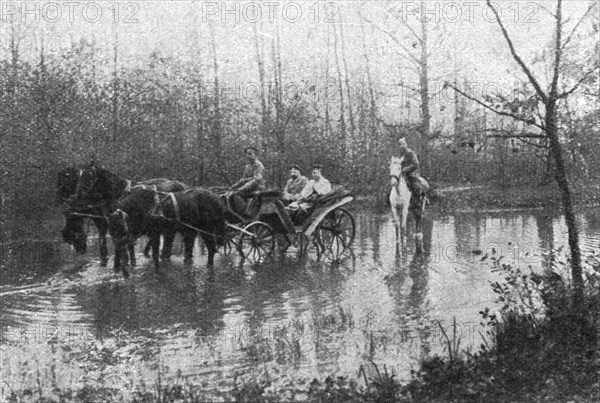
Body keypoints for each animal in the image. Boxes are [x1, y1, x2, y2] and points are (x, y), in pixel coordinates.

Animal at [58, 163, 186, 266]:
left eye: (89, 176)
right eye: (79, 177)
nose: (78, 194)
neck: (118, 194)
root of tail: (181, 184)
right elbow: (106, 240)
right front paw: (107, 260)